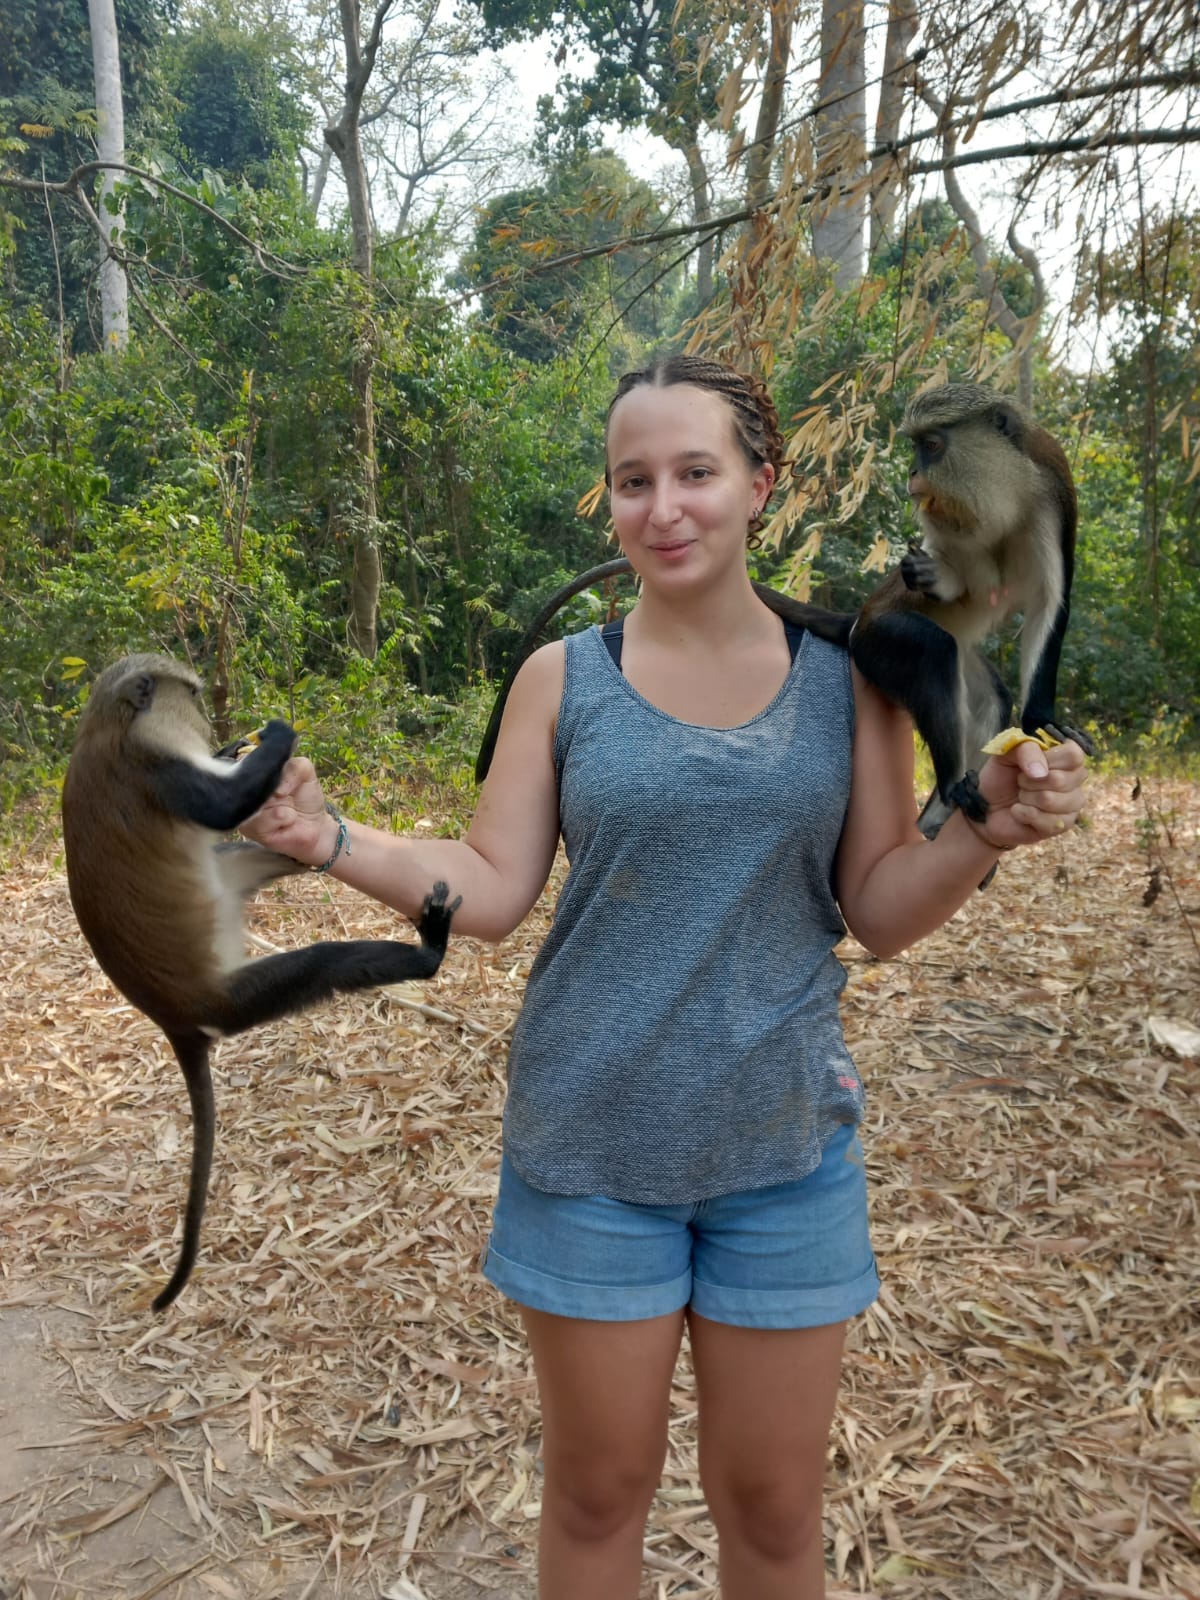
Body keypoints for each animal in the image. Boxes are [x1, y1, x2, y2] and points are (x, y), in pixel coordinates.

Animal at [63, 652, 464, 1312]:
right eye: (192, 694)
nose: (208, 717)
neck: (105, 725)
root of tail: (173, 1018)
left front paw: (243, 749)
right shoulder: (154, 767)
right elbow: (221, 808)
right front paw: (276, 733)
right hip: (235, 997)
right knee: (324, 963)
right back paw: (427, 952)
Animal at [473, 385, 1094, 832]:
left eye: (933, 445)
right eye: (917, 447)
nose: (914, 477)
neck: (1000, 500)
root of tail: (858, 619)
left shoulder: (1052, 492)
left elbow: (1050, 606)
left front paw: (1041, 721)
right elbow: (952, 582)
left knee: (988, 695)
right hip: (880, 640)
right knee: (932, 648)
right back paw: (949, 789)